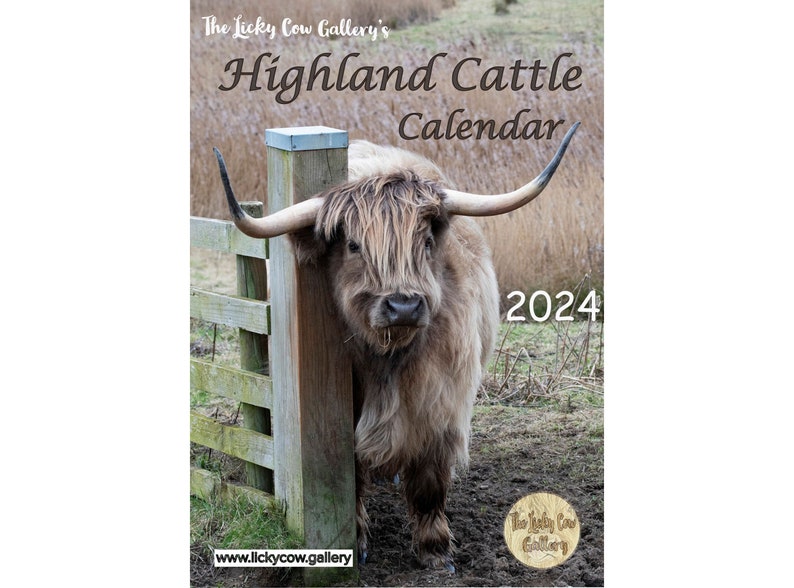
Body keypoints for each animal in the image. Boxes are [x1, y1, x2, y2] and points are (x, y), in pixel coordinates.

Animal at [213, 121, 579, 571]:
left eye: (426, 242)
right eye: (353, 245)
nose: (403, 305)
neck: (385, 361)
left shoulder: (442, 406)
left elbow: (429, 481)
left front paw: (436, 551)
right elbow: (350, 478)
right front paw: (357, 541)